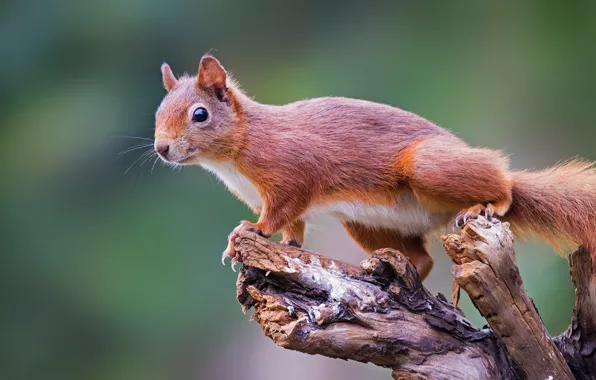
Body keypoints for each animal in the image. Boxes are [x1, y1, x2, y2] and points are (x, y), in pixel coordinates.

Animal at [154, 54, 596, 280]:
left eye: (199, 114)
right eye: (159, 112)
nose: (161, 148)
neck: (236, 153)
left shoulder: (292, 171)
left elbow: (281, 211)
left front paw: (252, 231)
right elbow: (294, 226)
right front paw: (286, 245)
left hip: (428, 165)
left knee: (502, 181)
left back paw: (489, 204)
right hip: (367, 223)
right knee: (423, 259)